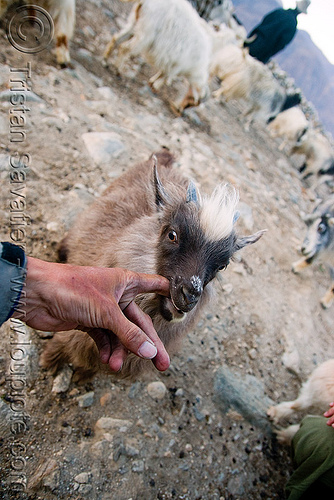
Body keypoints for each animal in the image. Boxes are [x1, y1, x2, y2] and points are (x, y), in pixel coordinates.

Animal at [40, 150, 264, 380]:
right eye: (172, 235)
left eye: (222, 266)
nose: (189, 297)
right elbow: (60, 343)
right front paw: (48, 361)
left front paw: (81, 376)